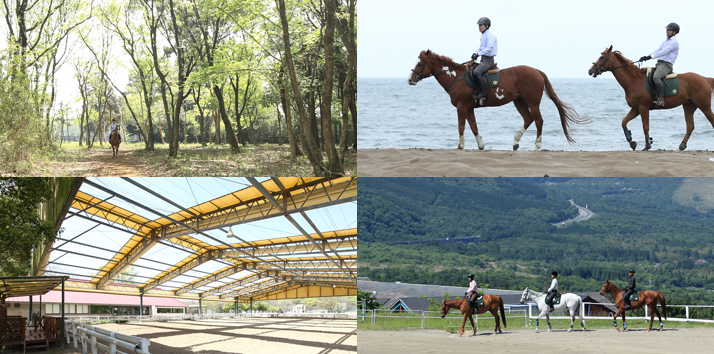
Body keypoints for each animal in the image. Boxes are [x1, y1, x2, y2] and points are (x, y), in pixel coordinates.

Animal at [408, 49, 588, 149]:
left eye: (419, 64)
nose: (410, 80)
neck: (456, 77)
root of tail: (537, 71)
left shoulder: (461, 107)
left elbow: (461, 127)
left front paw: (460, 146)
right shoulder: (469, 108)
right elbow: (474, 127)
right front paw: (480, 145)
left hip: (532, 102)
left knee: (538, 120)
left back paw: (537, 144)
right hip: (519, 101)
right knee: (528, 119)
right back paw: (515, 142)